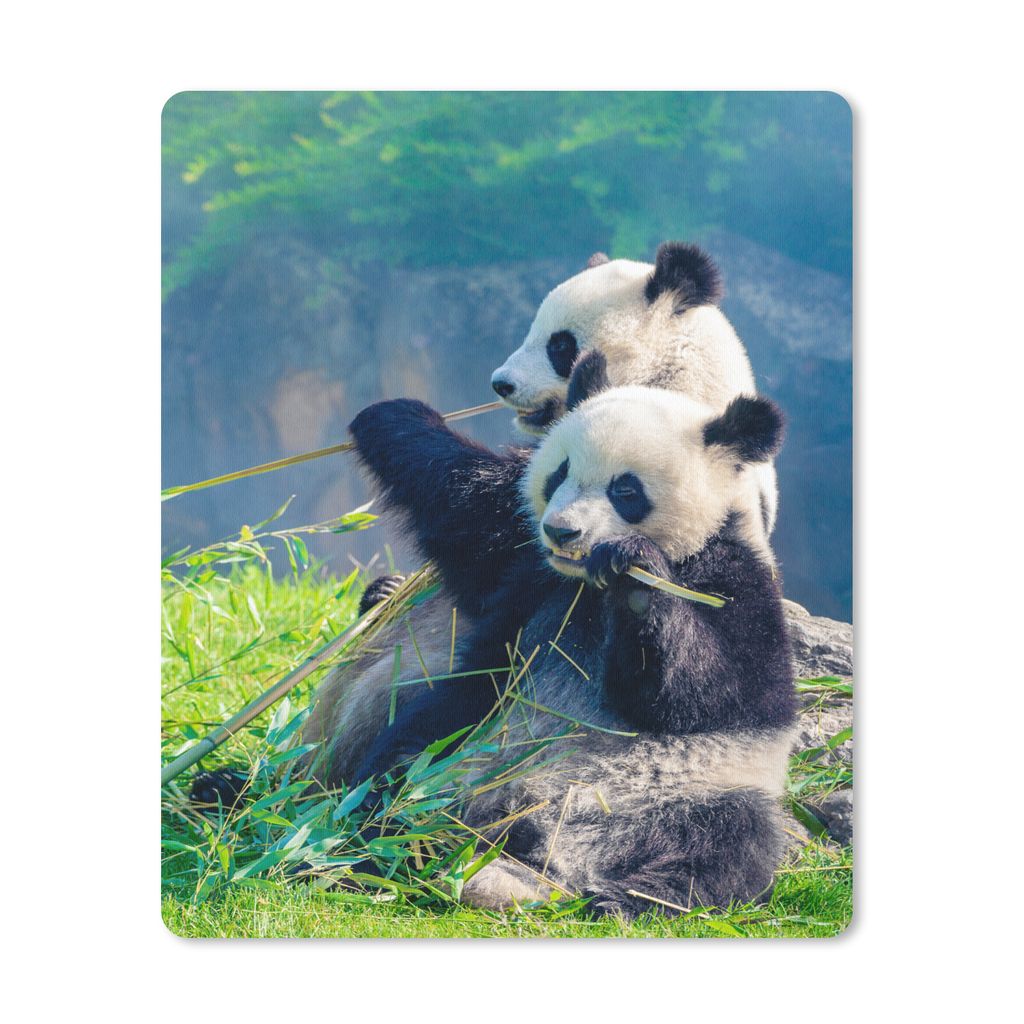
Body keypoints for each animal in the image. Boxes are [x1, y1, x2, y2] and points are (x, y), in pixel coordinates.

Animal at [344, 354, 795, 915]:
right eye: (559, 472)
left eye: (625, 490)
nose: (561, 531)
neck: (587, 587)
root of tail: (547, 851)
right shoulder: (532, 581)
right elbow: (471, 537)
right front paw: (393, 416)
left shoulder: (736, 579)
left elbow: (711, 692)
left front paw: (636, 576)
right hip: (465, 752)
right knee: (406, 764)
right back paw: (382, 839)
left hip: (693, 790)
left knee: (731, 842)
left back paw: (626, 898)